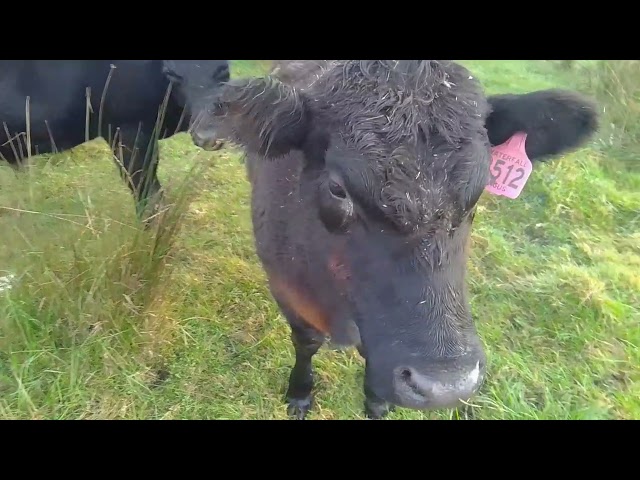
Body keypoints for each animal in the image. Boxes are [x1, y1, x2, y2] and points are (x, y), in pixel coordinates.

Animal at [191, 61, 600, 420]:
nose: (445, 386)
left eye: (484, 183)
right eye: (338, 188)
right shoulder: (287, 289)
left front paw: (376, 403)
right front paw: (300, 394)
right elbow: (306, 343)